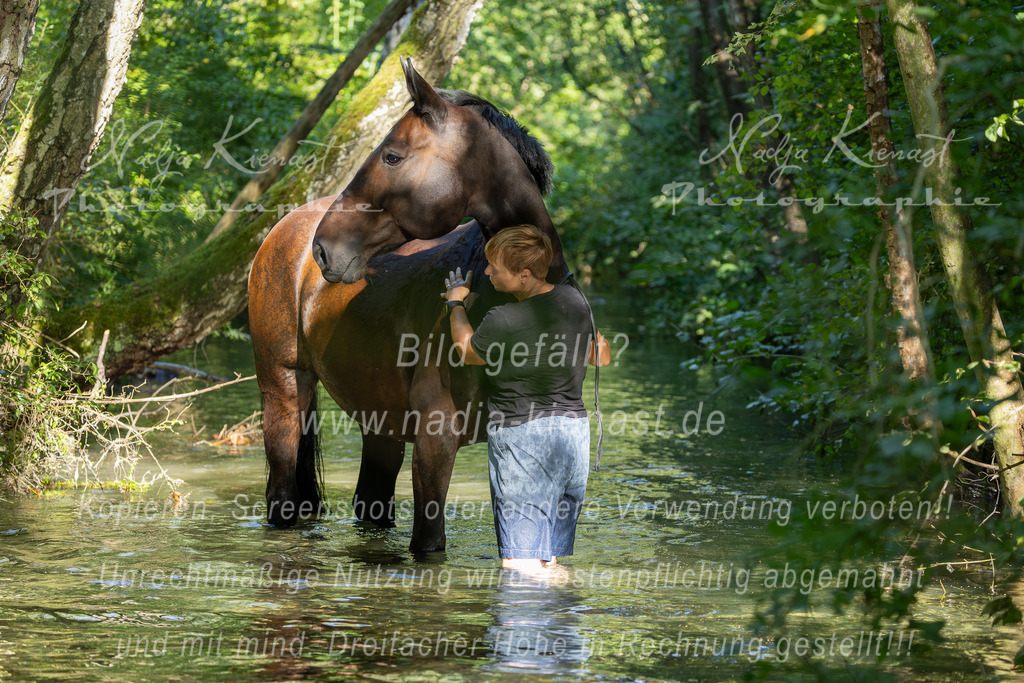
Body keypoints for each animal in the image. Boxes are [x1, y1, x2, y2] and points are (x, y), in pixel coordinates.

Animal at [248, 58, 569, 552]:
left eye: (392, 156)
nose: (323, 249)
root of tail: (284, 228)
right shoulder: (437, 437)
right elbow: (429, 542)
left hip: (379, 423)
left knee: (371, 504)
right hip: (283, 393)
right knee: (282, 497)